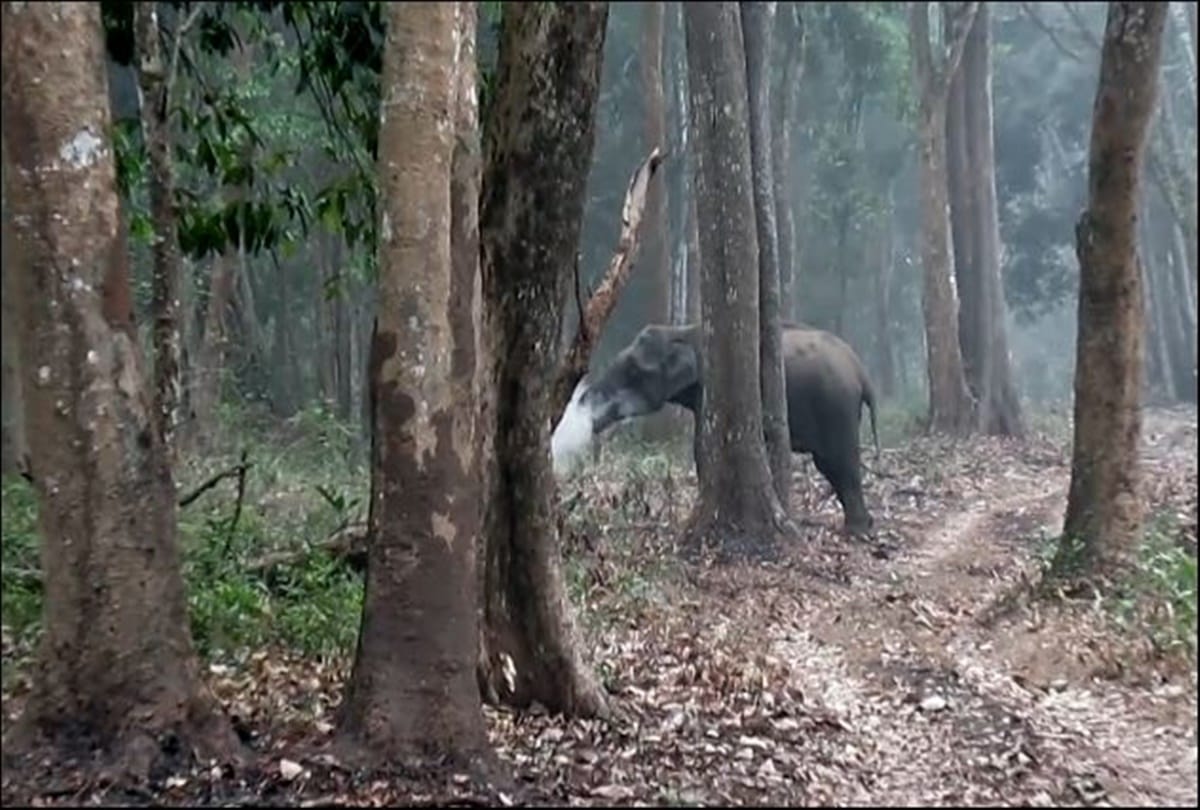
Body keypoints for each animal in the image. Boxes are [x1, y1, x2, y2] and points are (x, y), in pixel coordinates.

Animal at [553, 322, 879, 534]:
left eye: (634, 371)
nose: (580, 413)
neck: (683, 330)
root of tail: (862, 372)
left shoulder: (710, 388)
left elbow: (702, 445)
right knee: (831, 465)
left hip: (836, 407)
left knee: (839, 462)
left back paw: (857, 531)